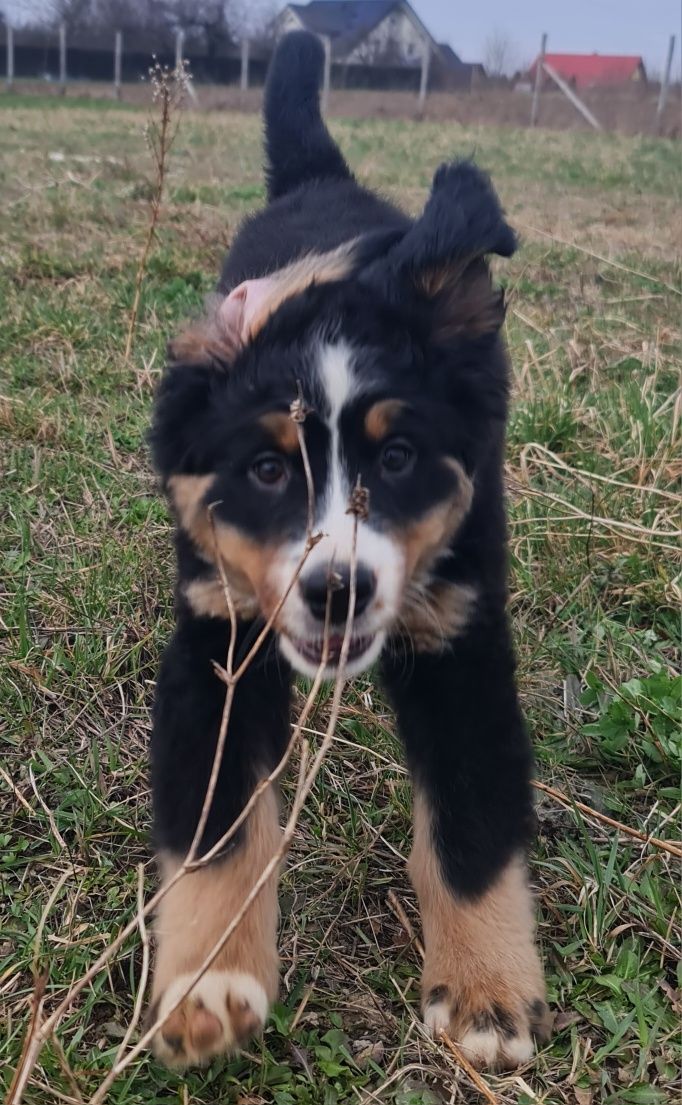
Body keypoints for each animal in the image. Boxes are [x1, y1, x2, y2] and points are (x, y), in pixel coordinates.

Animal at [145, 30, 550, 1069]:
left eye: (397, 457)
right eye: (265, 470)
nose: (338, 590)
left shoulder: (459, 642)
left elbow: (471, 823)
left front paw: (486, 992)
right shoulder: (219, 638)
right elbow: (217, 823)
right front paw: (209, 983)